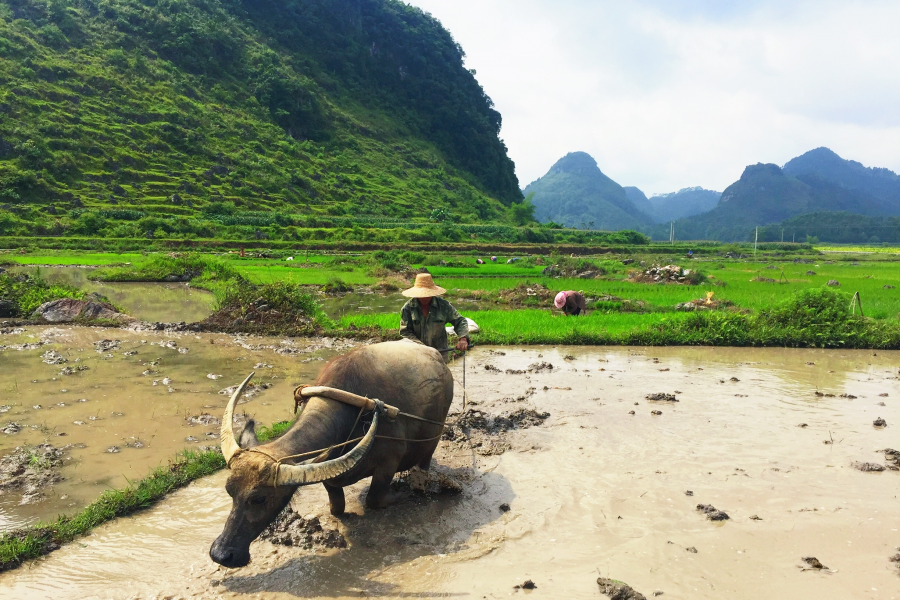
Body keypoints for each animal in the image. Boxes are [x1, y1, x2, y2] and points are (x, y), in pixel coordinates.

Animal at [208, 342, 454, 568]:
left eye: (259, 499)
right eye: (229, 491)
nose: (222, 554)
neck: (356, 416)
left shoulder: (389, 462)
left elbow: (375, 499)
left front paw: (402, 494)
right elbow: (336, 506)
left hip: (434, 438)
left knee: (424, 461)